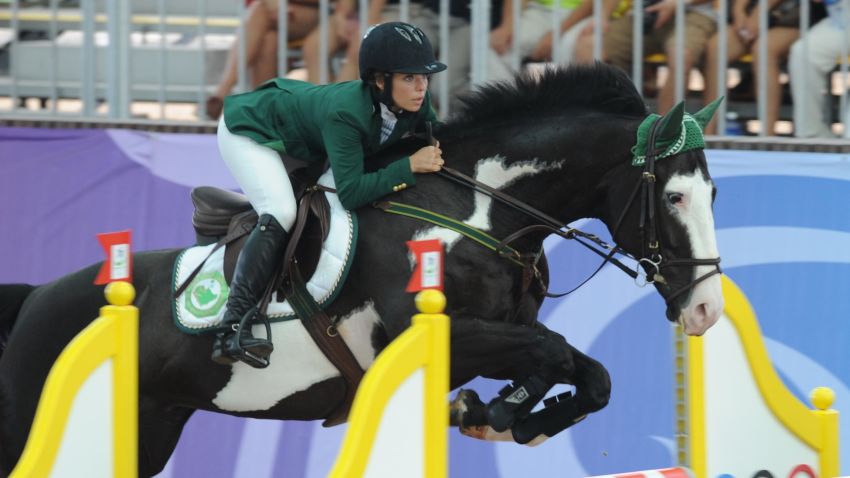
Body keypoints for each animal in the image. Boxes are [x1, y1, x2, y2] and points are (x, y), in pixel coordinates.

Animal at [0, 64, 724, 478]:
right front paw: (493, 413)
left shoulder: (500, 333)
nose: (706, 311)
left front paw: (500, 416)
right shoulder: (438, 334)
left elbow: (584, 370)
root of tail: (34, 297)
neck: (482, 208)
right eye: (674, 197)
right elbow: (553, 351)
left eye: (713, 194)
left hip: (147, 429)